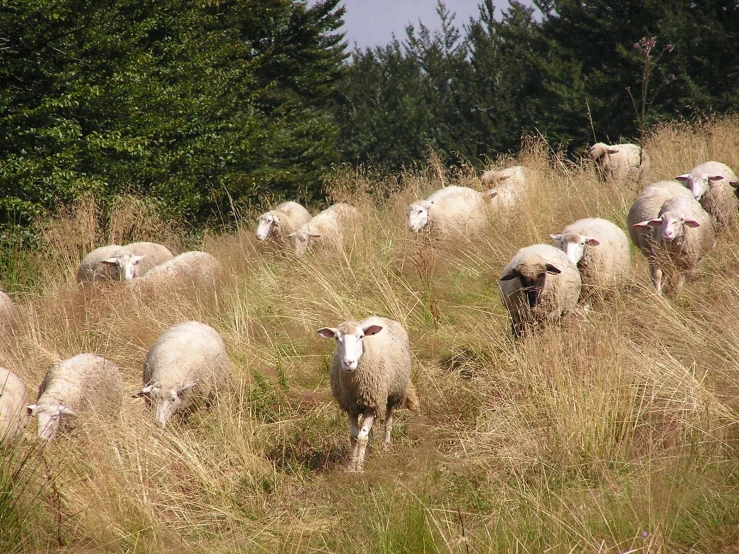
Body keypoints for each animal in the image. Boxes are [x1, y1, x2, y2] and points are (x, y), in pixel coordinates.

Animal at [318, 314, 422, 470]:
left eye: (361, 336)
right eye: (336, 338)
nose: (348, 363)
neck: (355, 384)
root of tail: (379, 317)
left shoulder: (373, 403)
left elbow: (362, 437)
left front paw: (359, 468)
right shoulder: (351, 407)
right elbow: (354, 437)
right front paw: (351, 466)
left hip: (391, 394)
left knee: (388, 421)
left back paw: (386, 445)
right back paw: (371, 447)